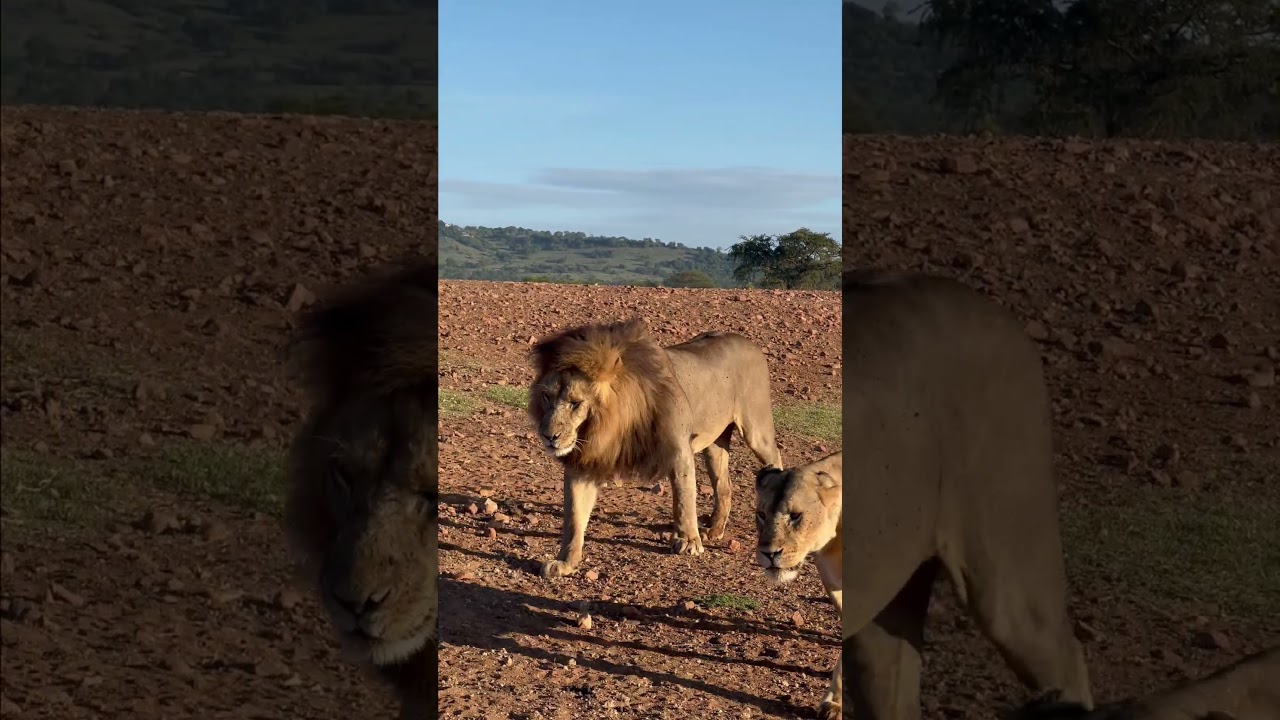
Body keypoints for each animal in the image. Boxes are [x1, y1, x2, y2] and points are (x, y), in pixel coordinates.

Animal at [528, 317, 784, 578]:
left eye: (576, 403)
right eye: (546, 397)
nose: (548, 436)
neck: (610, 427)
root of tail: (748, 342)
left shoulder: (679, 449)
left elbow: (684, 497)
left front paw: (688, 541)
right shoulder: (585, 461)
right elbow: (574, 516)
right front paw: (565, 562)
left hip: (756, 429)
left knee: (775, 458)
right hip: (715, 444)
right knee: (724, 485)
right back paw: (714, 529)